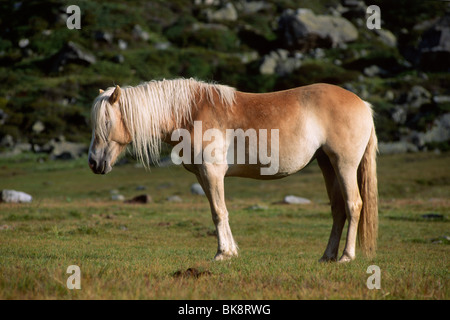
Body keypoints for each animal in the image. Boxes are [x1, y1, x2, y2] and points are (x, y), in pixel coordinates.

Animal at [88, 77, 376, 262]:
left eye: (106, 122)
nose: (93, 162)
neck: (191, 113)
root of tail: (363, 104)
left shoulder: (212, 172)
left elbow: (219, 212)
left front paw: (222, 253)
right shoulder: (203, 175)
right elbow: (218, 211)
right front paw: (231, 251)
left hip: (344, 164)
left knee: (353, 205)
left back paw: (346, 257)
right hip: (327, 164)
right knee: (338, 210)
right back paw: (327, 256)